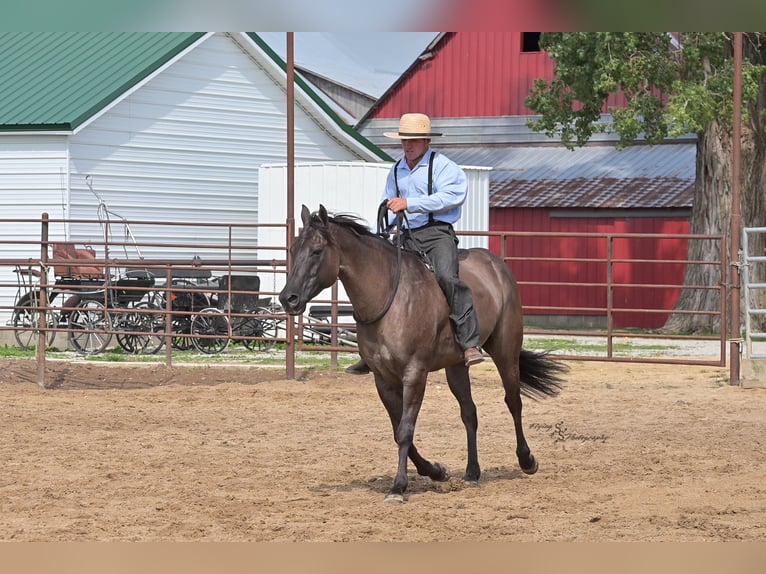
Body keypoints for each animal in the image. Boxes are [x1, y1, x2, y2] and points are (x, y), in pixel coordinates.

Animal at [279, 204, 567, 503]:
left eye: (316, 251)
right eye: (293, 248)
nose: (288, 298)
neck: (390, 296)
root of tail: (496, 264)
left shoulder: (415, 374)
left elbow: (406, 429)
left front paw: (398, 487)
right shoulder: (383, 379)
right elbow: (398, 430)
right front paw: (436, 471)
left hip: (505, 351)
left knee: (513, 401)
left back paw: (527, 460)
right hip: (456, 366)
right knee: (469, 412)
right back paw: (472, 472)